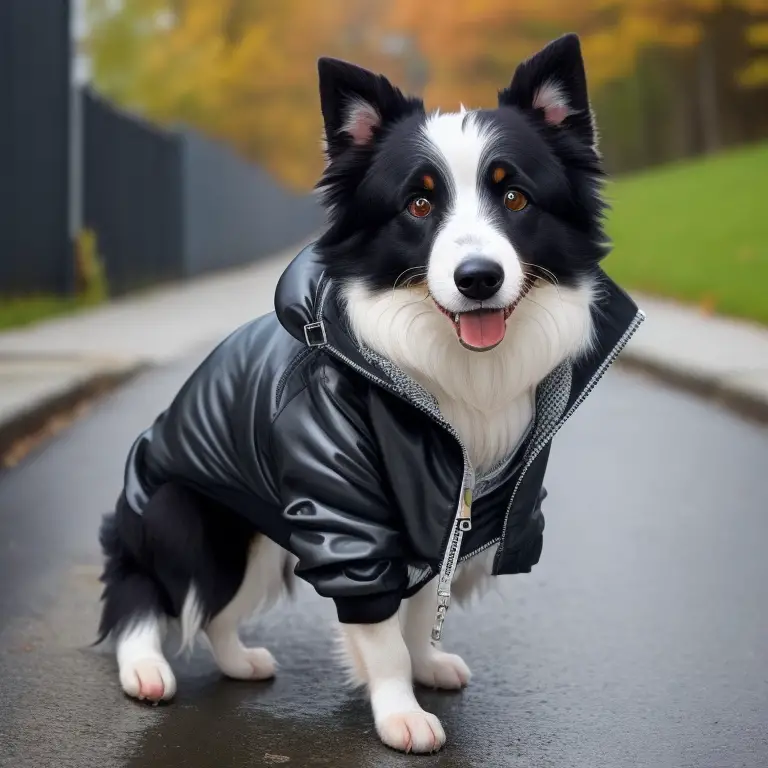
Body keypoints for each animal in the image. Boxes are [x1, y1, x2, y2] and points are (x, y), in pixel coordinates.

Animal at [99, 33, 644, 752]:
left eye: (516, 199)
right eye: (418, 204)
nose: (478, 278)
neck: (446, 376)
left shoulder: (447, 522)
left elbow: (416, 611)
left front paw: (425, 665)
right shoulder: (347, 521)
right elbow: (381, 635)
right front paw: (400, 712)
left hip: (261, 542)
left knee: (217, 611)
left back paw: (239, 661)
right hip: (184, 517)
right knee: (145, 587)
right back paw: (144, 669)